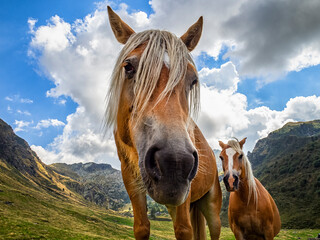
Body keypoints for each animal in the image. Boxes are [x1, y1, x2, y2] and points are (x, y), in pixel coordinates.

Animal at [106, 6, 221, 240]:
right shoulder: (131, 179)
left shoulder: (183, 196)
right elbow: (141, 227)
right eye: (128, 67)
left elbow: (184, 230)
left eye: (193, 80)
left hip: (211, 207)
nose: (175, 163)